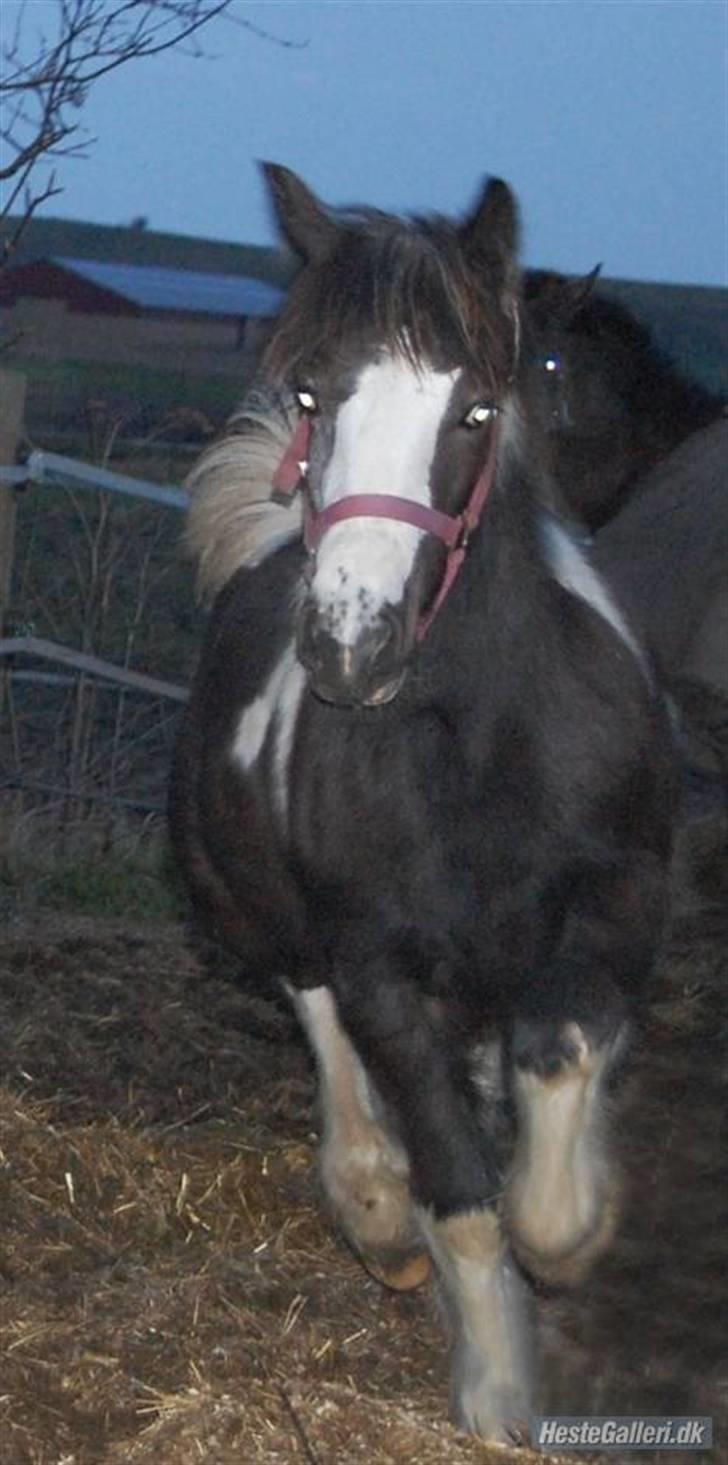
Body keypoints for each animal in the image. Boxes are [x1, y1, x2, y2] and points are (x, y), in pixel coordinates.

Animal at [167, 171, 673, 1441]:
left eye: (477, 411)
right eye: (311, 393)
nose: (351, 643)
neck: (481, 752)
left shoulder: (618, 903)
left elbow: (557, 1071)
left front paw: (581, 1221)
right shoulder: (377, 962)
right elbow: (460, 1186)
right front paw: (496, 1392)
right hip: (271, 926)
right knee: (329, 1043)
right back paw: (373, 1212)